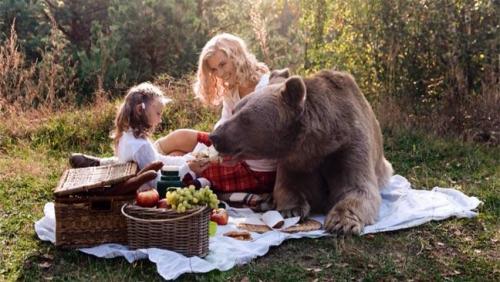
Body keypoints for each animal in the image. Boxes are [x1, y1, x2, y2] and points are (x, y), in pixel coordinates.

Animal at [209, 69, 392, 234]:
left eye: (245, 118)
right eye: (234, 111)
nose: (215, 136)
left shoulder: (348, 146)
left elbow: (358, 187)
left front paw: (341, 222)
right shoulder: (295, 161)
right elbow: (287, 186)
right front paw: (291, 209)